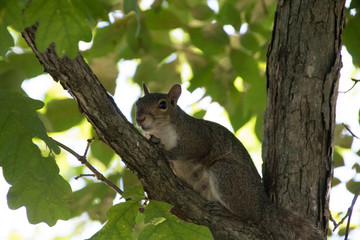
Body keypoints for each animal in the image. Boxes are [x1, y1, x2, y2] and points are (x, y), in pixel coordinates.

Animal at [134, 83, 324, 240]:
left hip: (225, 173)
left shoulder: (197, 137)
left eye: (163, 105)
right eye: (138, 103)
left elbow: (186, 151)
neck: (162, 130)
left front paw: (163, 150)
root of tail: (262, 205)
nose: (140, 119)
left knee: (250, 216)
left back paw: (227, 211)